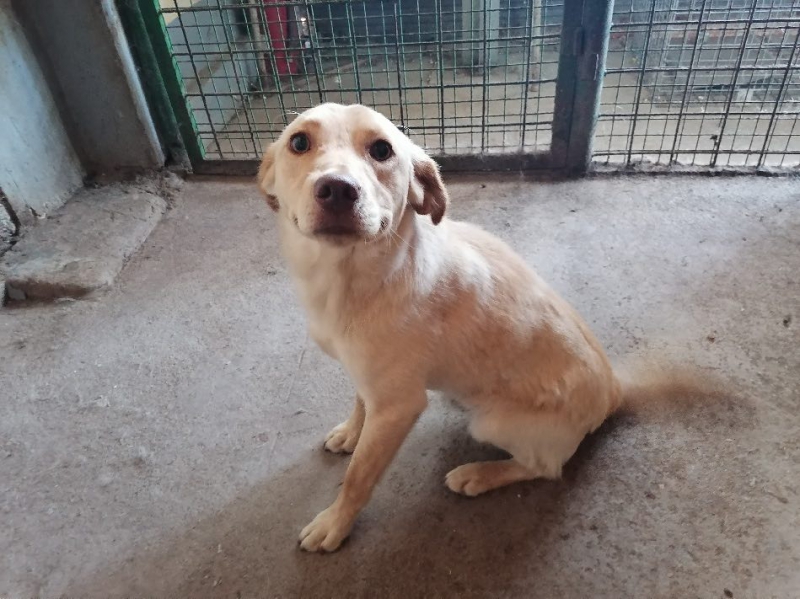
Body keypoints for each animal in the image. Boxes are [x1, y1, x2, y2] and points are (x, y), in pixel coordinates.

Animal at [257, 103, 685, 552]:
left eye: (382, 150)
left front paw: (335, 523)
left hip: (493, 423)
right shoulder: (370, 381)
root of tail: (614, 390)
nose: (338, 190)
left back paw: (478, 474)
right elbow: (359, 404)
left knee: (545, 467)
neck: (351, 278)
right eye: (299, 142)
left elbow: (359, 476)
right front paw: (349, 433)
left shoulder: (397, 407)